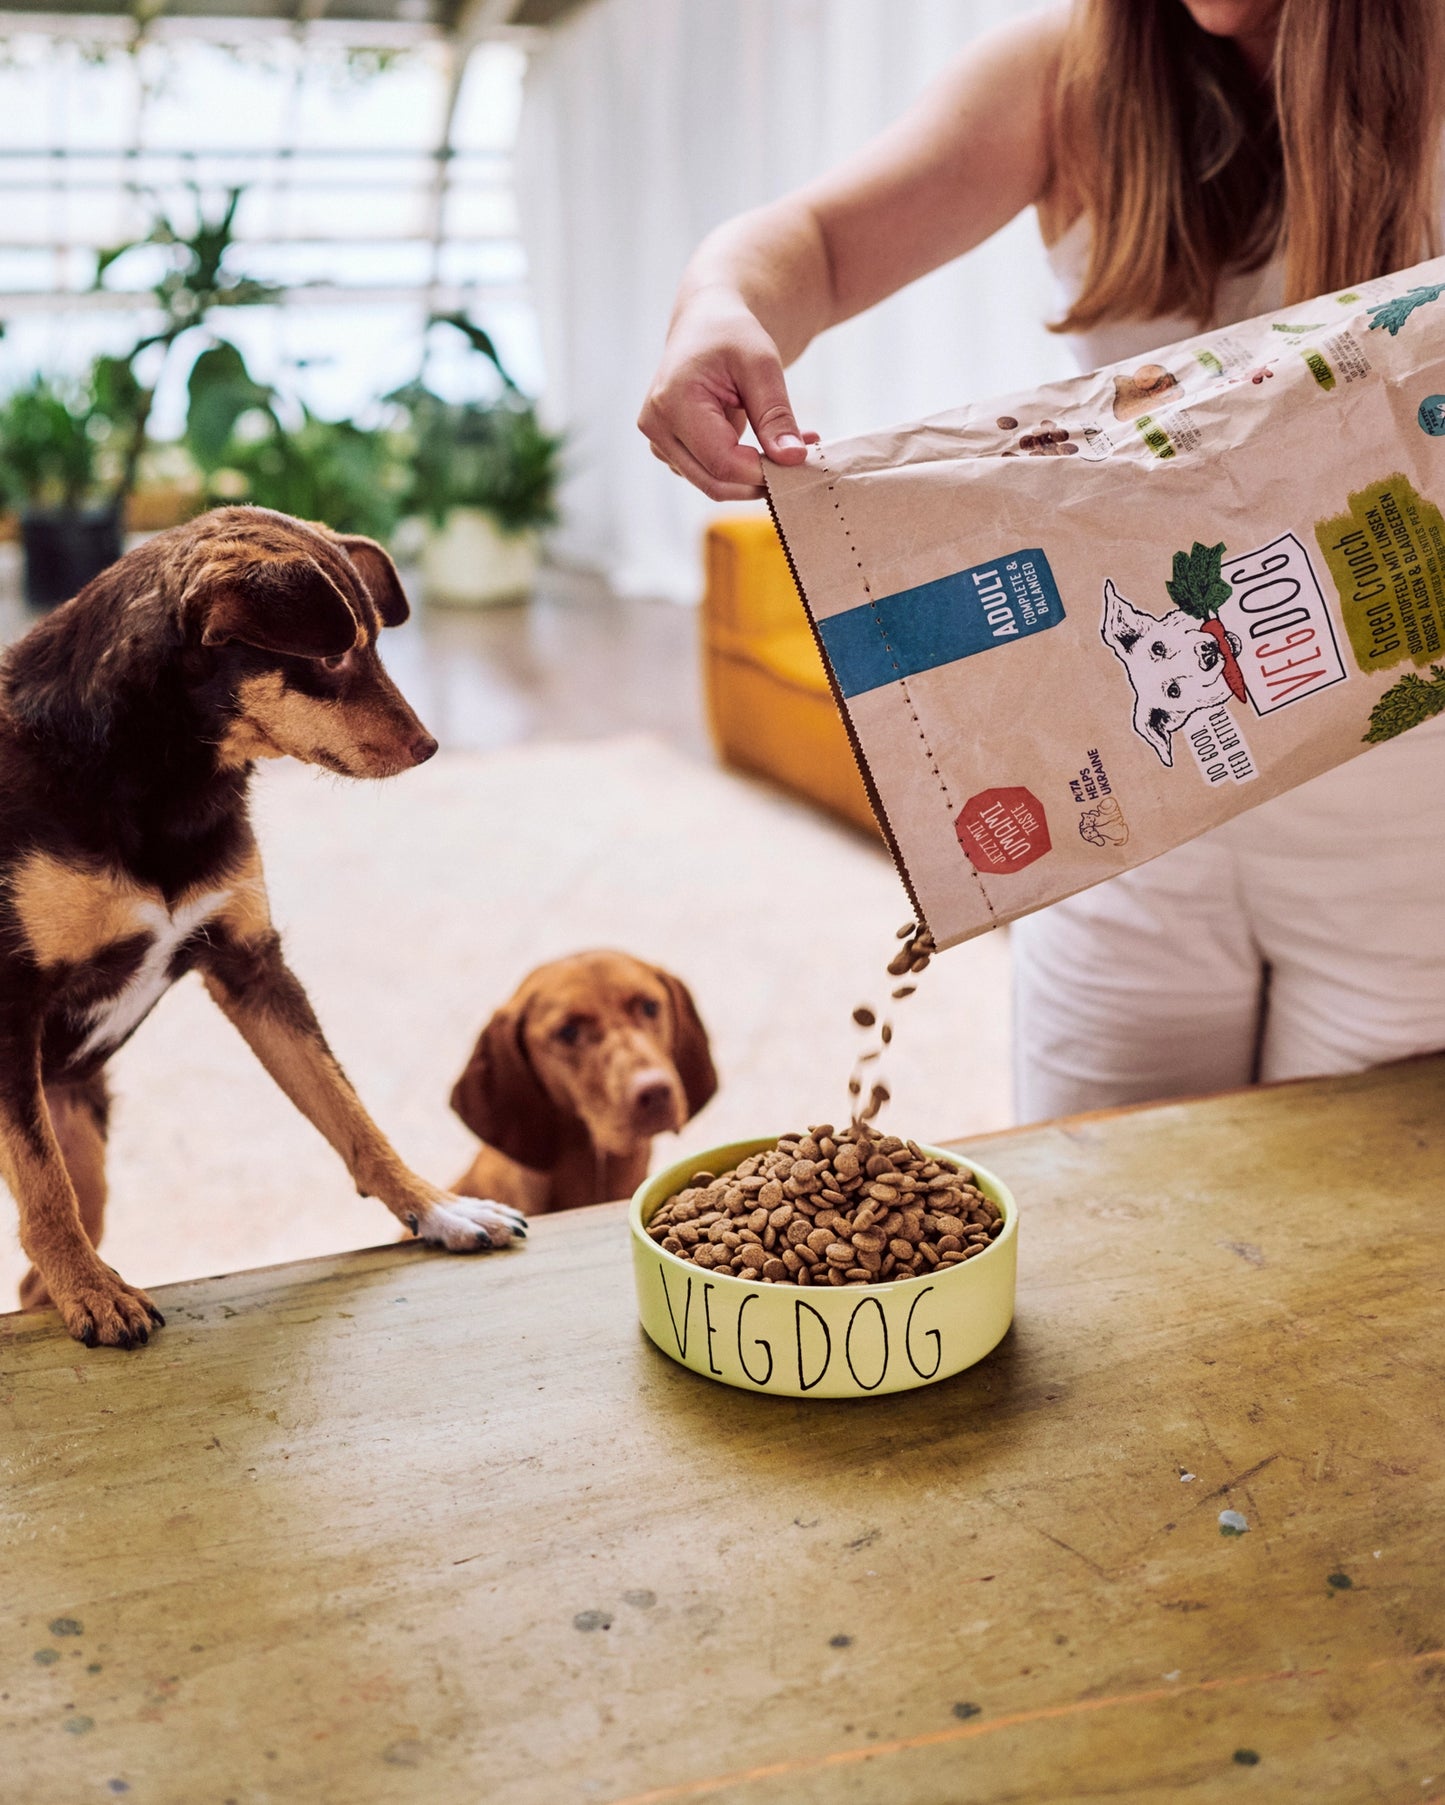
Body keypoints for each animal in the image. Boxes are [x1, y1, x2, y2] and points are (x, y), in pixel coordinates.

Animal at [0, 505, 526, 1342]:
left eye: (373, 643)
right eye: (333, 653)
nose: (428, 747)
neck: (161, 777)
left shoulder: (252, 965)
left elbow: (347, 1108)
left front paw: (436, 1207)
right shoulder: (11, 1003)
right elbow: (42, 1183)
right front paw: (91, 1288)